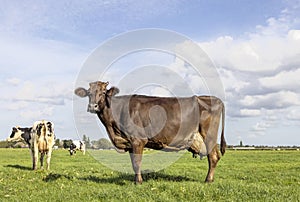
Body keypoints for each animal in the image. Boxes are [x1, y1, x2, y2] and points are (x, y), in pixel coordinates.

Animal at [74, 81, 225, 184]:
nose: (92, 106)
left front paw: (138, 182)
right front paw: (136, 179)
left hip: (209, 135)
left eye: (103, 92)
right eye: (89, 93)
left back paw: (208, 180)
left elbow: (137, 162)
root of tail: (213, 99)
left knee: (213, 157)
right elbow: (133, 163)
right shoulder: (130, 144)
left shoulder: (138, 140)